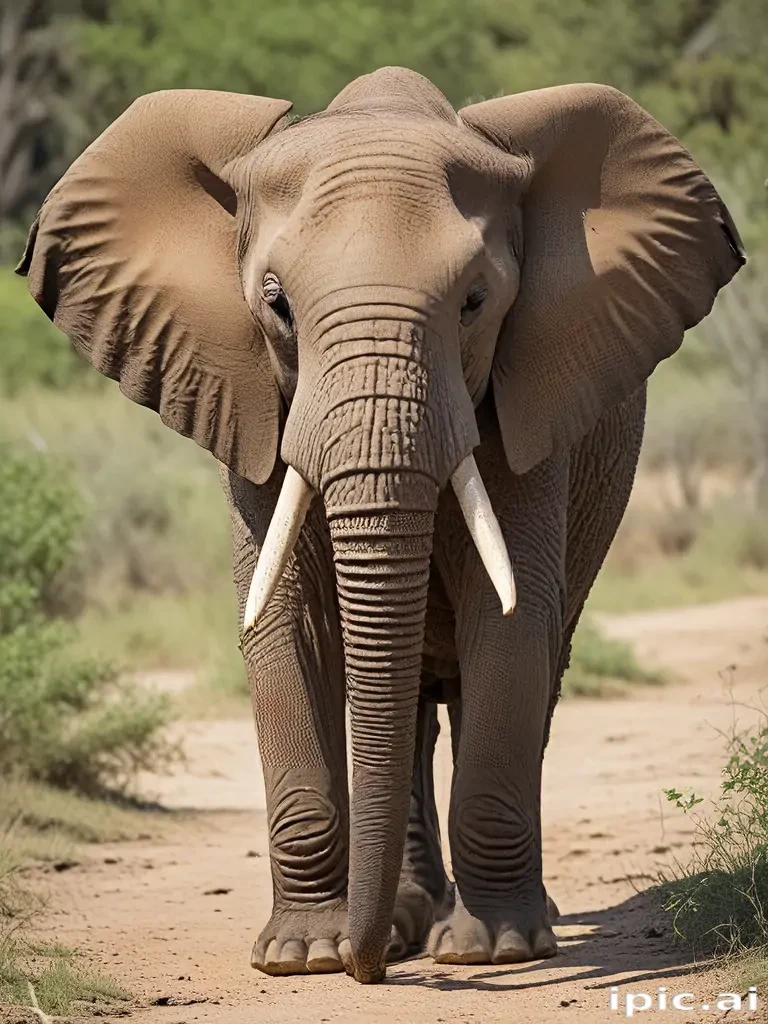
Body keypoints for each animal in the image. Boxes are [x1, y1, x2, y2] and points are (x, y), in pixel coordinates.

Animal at [18, 67, 745, 984]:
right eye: (277, 305)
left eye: (475, 302)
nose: (372, 972)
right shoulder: (252, 405)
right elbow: (287, 623)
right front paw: (303, 957)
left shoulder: (527, 399)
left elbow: (507, 622)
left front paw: (491, 952)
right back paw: (404, 919)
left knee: (521, 672)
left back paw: (493, 922)